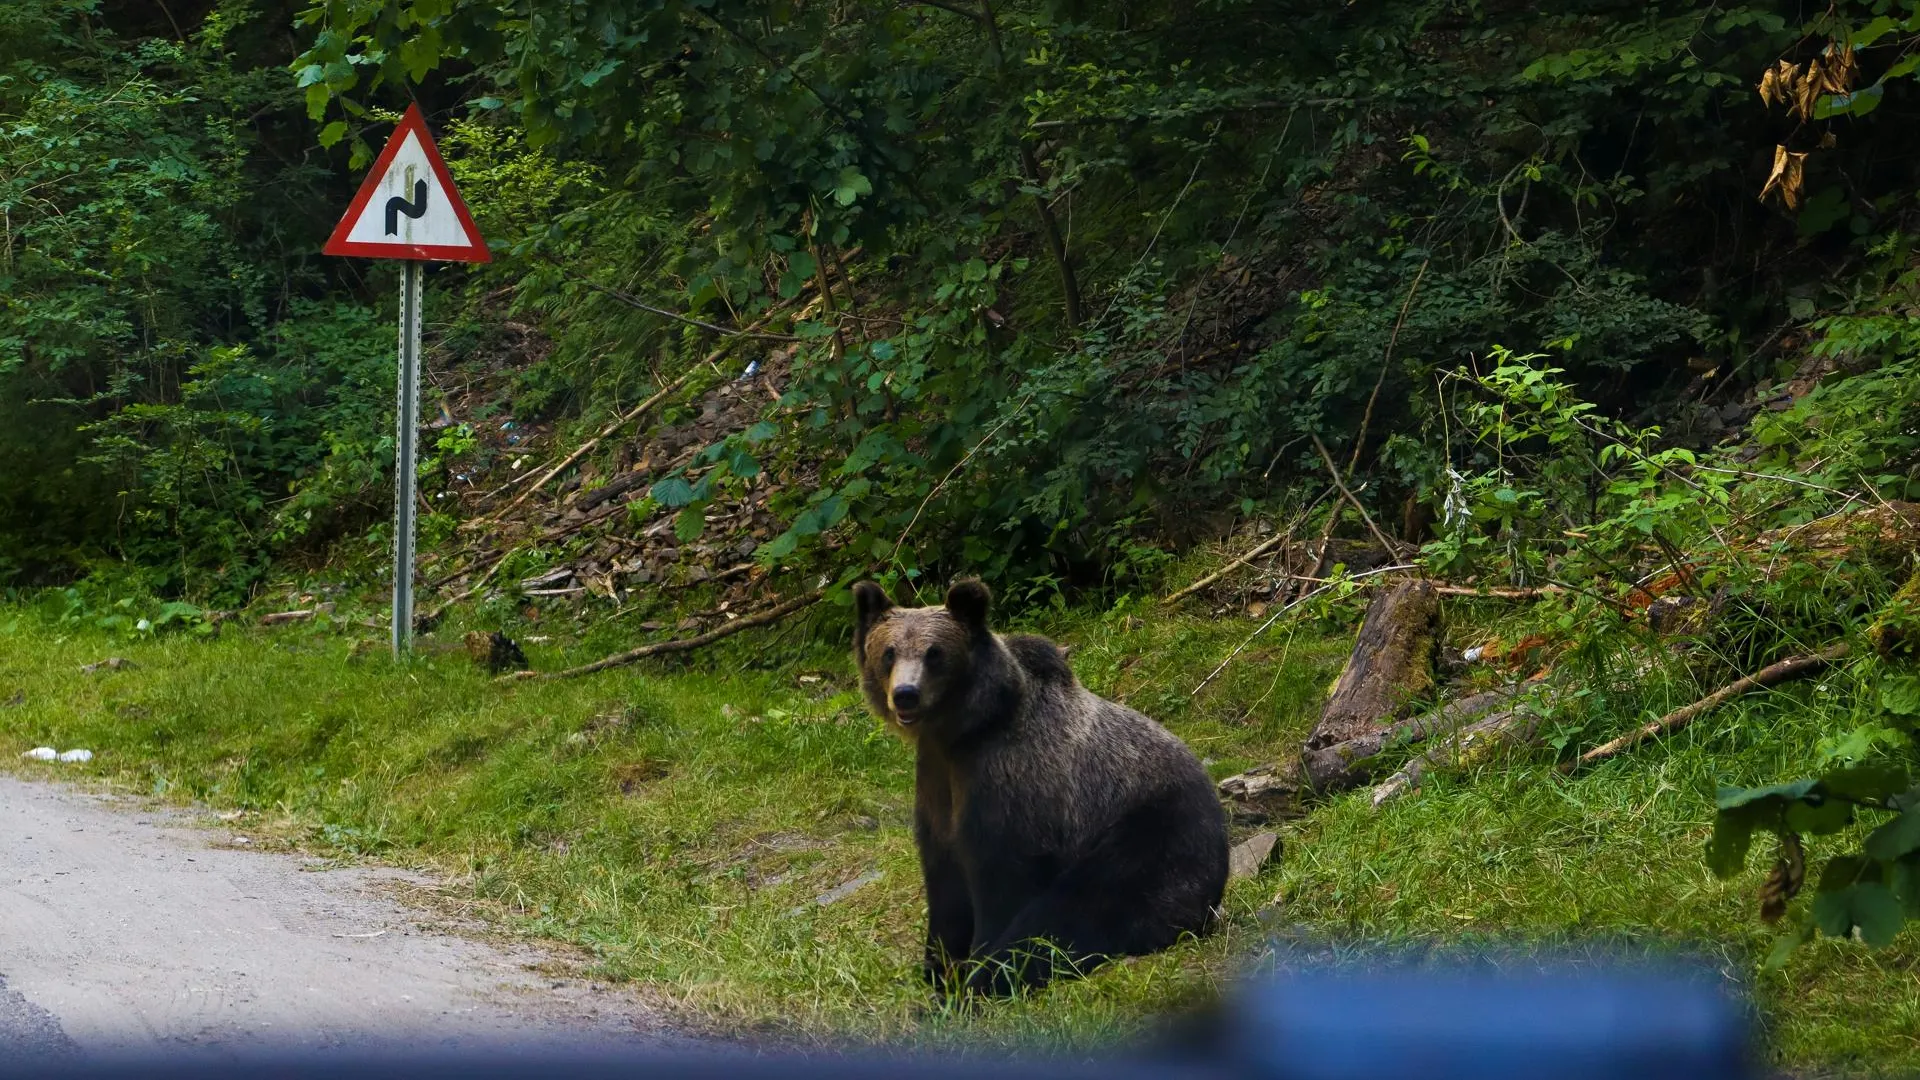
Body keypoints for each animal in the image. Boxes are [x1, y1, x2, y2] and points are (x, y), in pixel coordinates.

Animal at [856, 576, 1228, 999]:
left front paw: (976, 974)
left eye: (935, 653)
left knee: (1079, 909)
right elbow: (945, 886)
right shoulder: (937, 785)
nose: (906, 694)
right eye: (888, 652)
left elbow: (1002, 885)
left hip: (1149, 837)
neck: (960, 732)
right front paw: (940, 970)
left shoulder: (1010, 785)